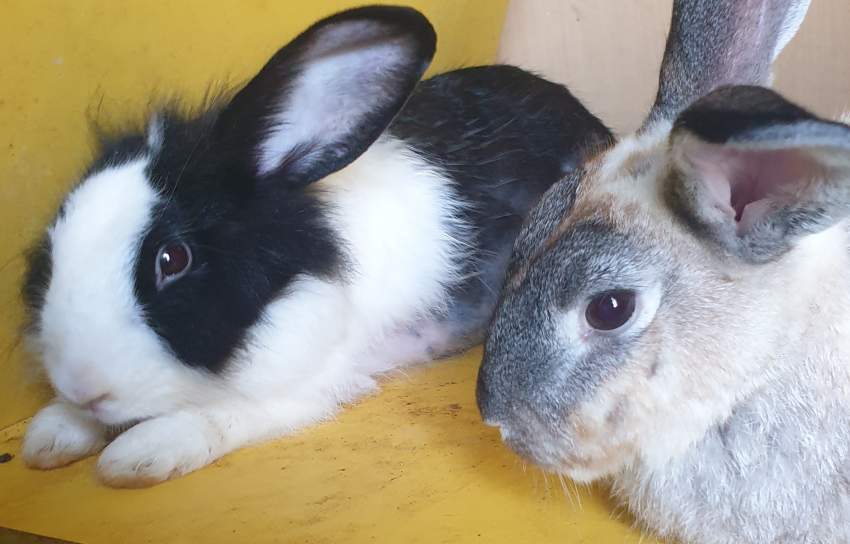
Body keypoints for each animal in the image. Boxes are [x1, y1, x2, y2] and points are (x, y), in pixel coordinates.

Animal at [18, 5, 612, 487]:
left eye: (173, 259)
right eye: (53, 242)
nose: (79, 385)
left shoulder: (314, 382)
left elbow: (226, 412)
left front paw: (139, 455)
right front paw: (52, 434)